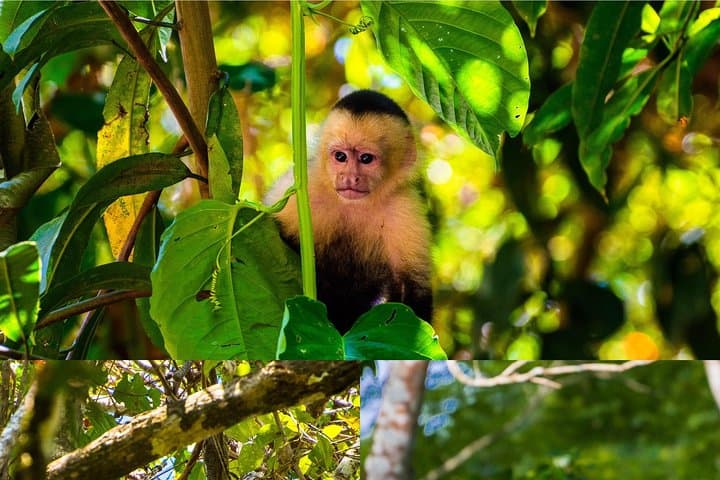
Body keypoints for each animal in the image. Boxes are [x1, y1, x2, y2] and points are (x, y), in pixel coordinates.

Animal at [273, 89, 432, 333]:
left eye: (366, 159)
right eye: (341, 157)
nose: (349, 177)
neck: (354, 205)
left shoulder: (404, 207)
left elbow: (412, 287)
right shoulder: (300, 193)